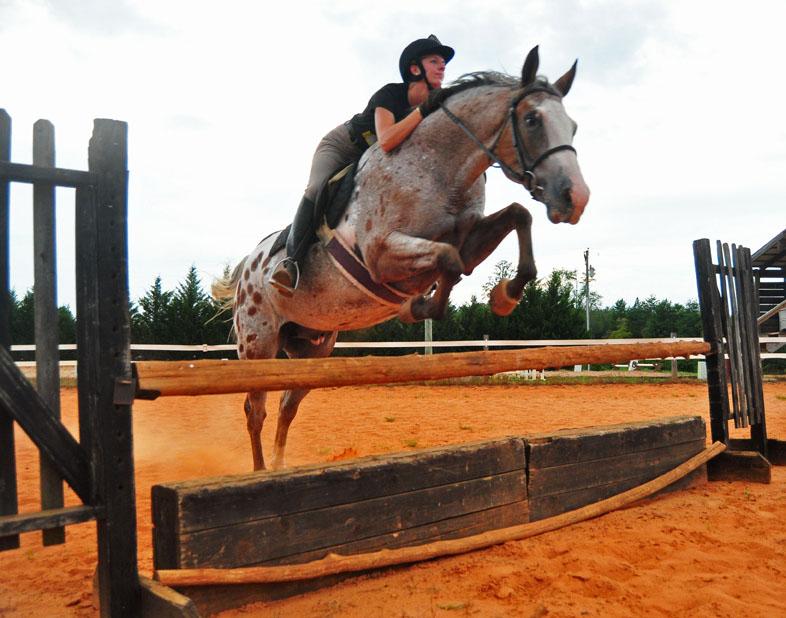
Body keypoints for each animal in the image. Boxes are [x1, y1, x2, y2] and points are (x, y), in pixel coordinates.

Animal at [213, 48, 588, 470]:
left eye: (573, 127)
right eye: (531, 120)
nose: (576, 198)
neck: (439, 168)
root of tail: (247, 268)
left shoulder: (469, 238)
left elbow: (513, 219)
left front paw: (504, 296)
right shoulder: (380, 255)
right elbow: (450, 261)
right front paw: (418, 306)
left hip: (312, 347)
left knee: (286, 406)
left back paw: (278, 467)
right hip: (257, 342)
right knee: (255, 409)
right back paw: (260, 472)